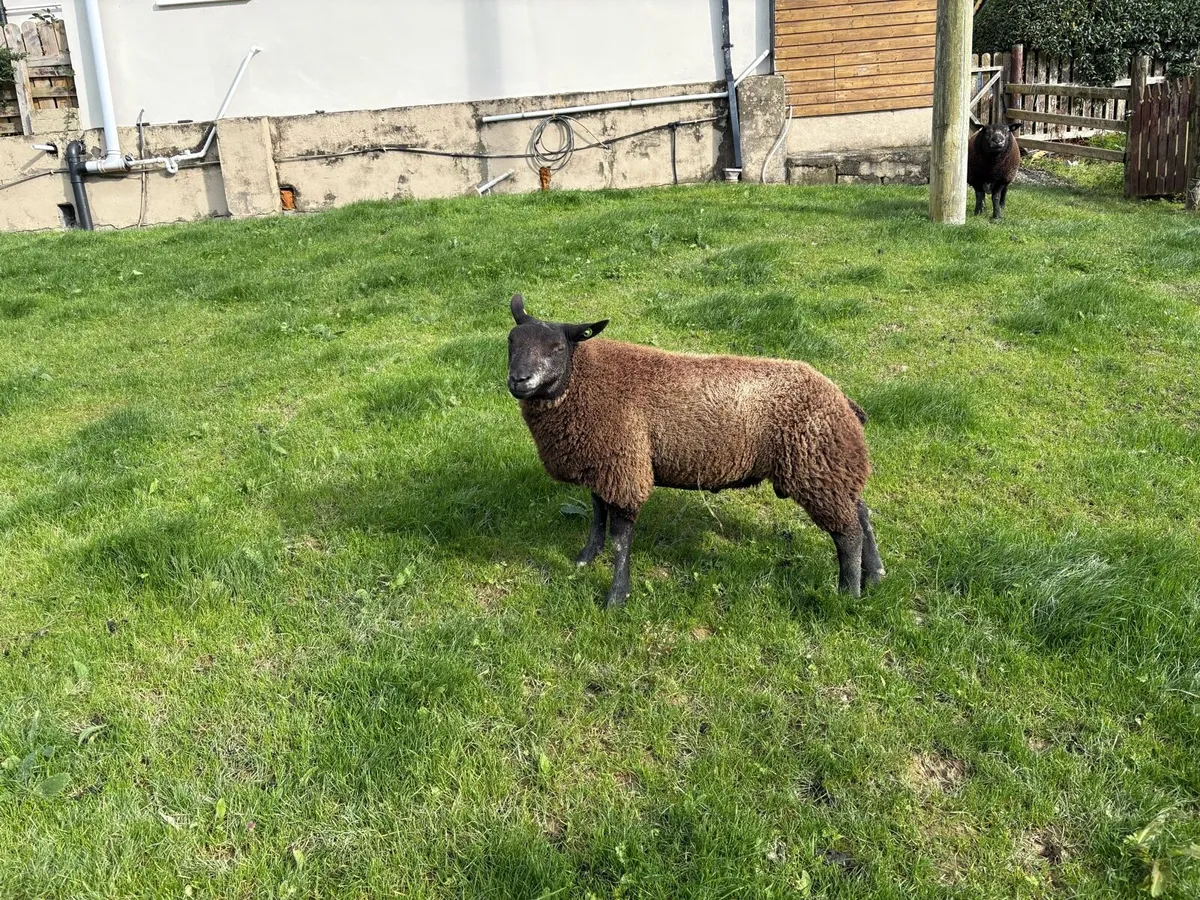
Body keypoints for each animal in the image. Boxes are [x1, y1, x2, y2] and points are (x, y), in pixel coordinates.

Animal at [506, 293, 883, 608]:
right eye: (510, 341)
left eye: (557, 348)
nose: (519, 380)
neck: (582, 380)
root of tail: (841, 398)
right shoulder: (601, 463)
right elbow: (598, 516)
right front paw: (585, 558)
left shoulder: (625, 466)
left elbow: (620, 539)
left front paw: (616, 597)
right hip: (832, 466)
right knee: (861, 514)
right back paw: (876, 576)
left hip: (817, 467)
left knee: (848, 534)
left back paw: (848, 593)